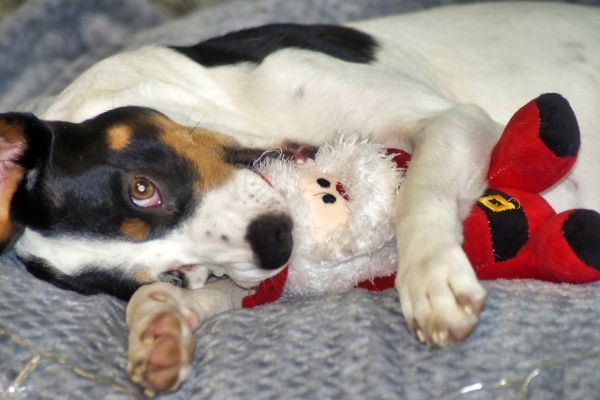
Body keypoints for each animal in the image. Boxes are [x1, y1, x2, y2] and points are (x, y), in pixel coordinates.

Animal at [0, 0, 596, 394]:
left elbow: (418, 194)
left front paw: (430, 279)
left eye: (141, 189)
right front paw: (158, 328)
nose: (277, 242)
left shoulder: (453, 120)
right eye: (174, 274)